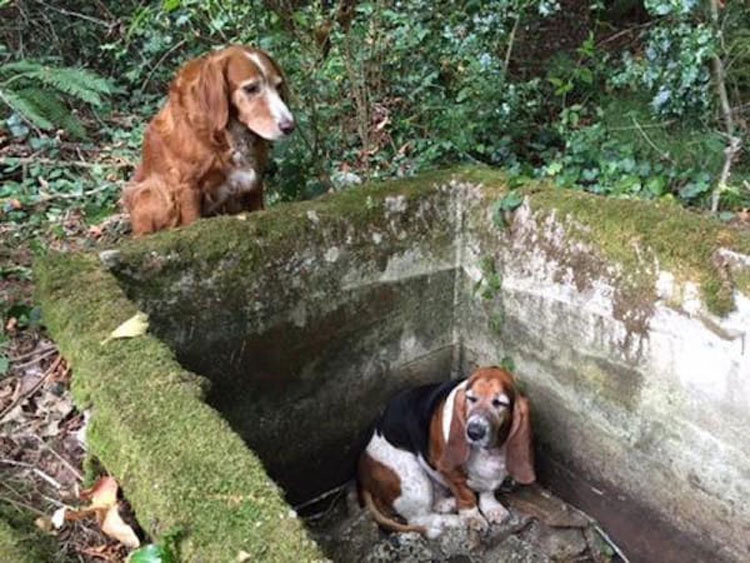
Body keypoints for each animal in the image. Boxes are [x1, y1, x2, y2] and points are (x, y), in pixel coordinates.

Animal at [122, 45, 294, 236]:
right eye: (251, 88)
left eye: (278, 86)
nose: (289, 126)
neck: (226, 135)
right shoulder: (188, 188)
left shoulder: (255, 182)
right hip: (152, 192)